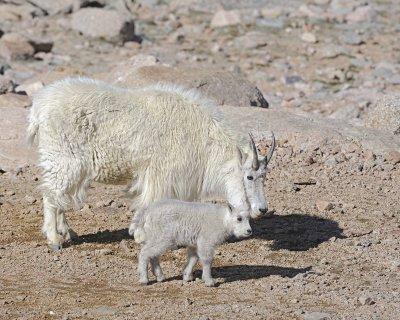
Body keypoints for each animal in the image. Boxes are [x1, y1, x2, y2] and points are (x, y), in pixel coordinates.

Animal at [26, 77, 274, 250]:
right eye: (249, 176)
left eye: (264, 177)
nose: (262, 209)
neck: (204, 137)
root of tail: (38, 109)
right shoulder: (161, 173)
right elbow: (150, 202)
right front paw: (141, 235)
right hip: (62, 158)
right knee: (51, 196)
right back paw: (54, 239)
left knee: (61, 197)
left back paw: (68, 232)